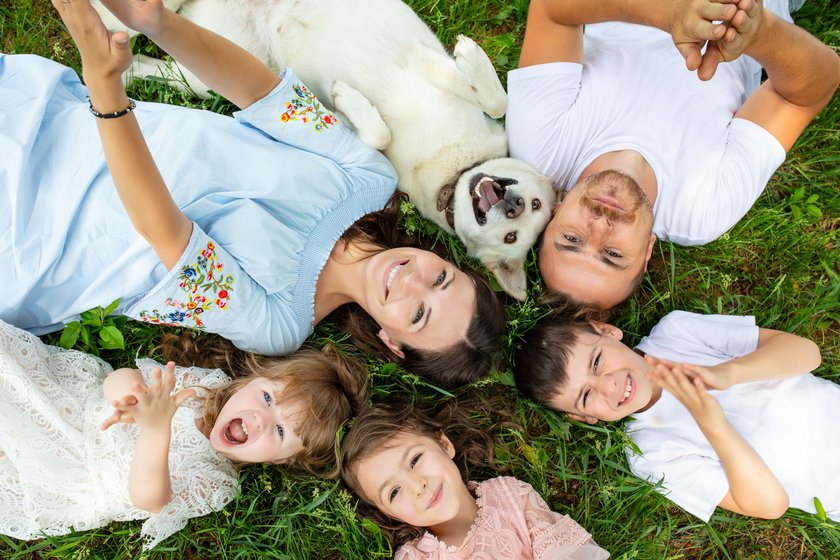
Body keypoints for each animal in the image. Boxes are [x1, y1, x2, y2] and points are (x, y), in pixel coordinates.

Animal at [95, 0, 556, 302]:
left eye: (513, 236)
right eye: (533, 204)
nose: (513, 204)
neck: (453, 169)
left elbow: (375, 134)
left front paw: (348, 98)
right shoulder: (435, 68)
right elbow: (495, 98)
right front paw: (471, 57)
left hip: (206, 74)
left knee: (157, 58)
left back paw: (122, 62)